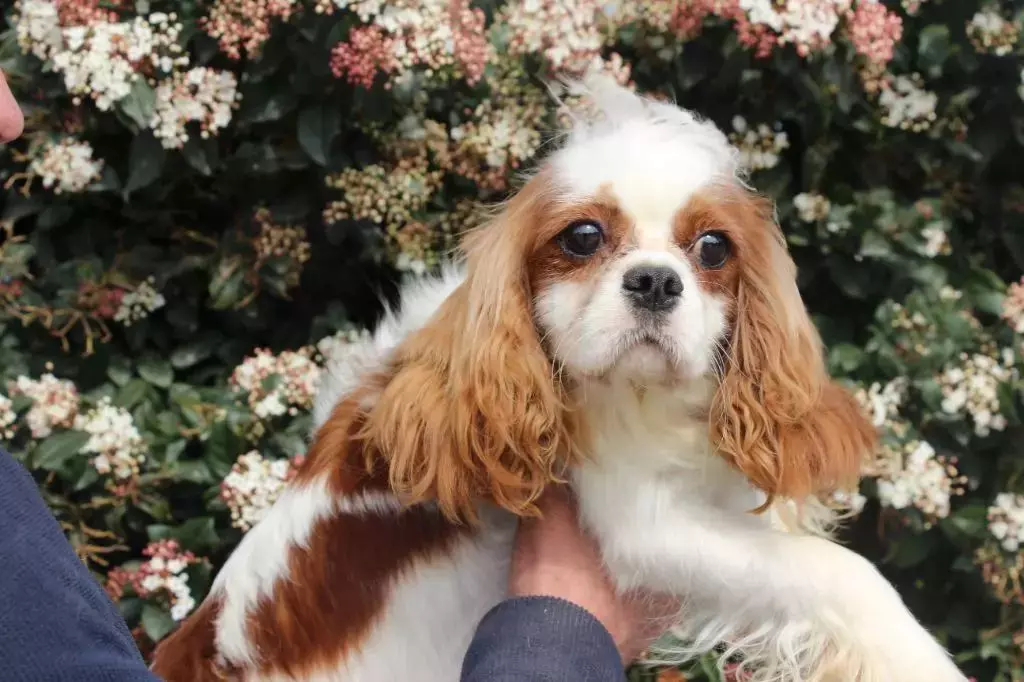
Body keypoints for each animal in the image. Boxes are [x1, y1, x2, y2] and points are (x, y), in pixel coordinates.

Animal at [151, 76, 966, 679]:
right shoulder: (644, 525)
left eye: (712, 248)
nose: (655, 281)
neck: (643, 401)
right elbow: (843, 574)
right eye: (582, 238)